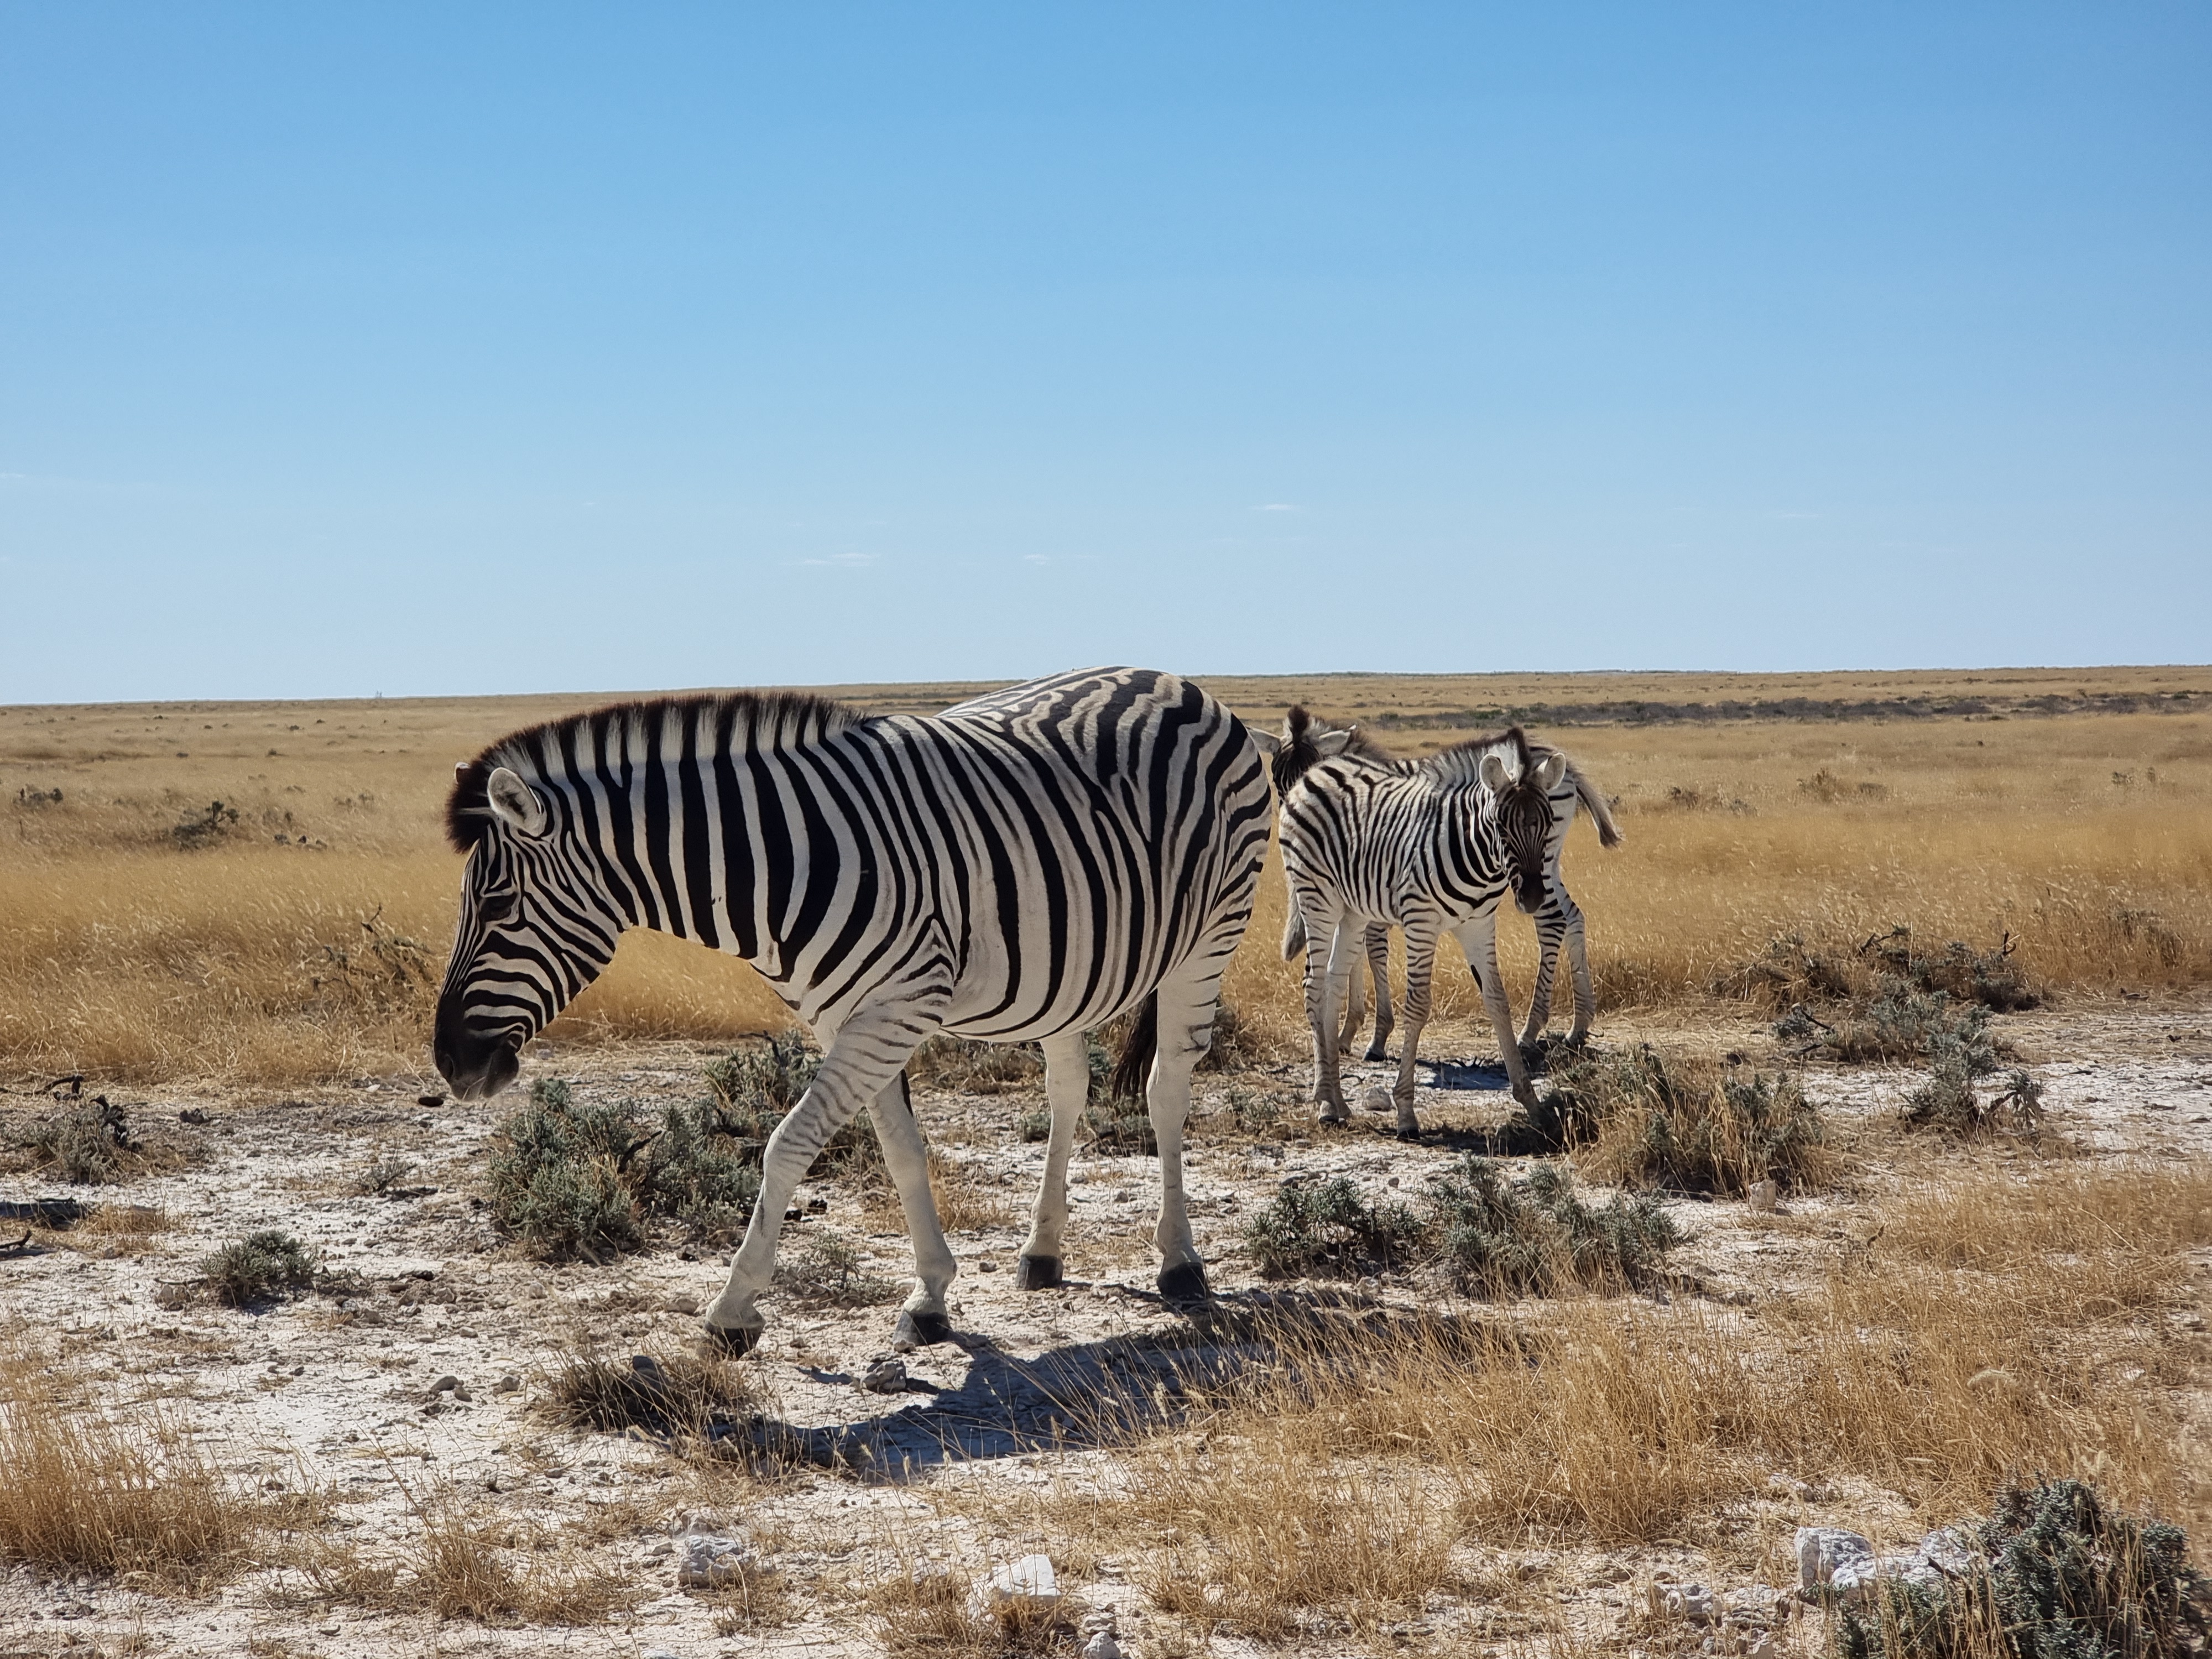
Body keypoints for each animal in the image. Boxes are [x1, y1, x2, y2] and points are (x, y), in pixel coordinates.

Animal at [429, 668, 1274, 1354]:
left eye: (497, 905)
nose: (450, 1062)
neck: (782, 863)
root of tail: (1179, 683)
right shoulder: (845, 1014)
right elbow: (899, 1147)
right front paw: (929, 1298)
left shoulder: (896, 1006)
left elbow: (786, 1145)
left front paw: (734, 1310)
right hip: (1070, 972)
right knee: (1068, 1087)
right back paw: (1042, 1252)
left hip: (1211, 936)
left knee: (1167, 1092)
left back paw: (1180, 1262)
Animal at [1265, 708, 1628, 1150]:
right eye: (1501, 825)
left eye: (1543, 823)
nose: (1528, 897)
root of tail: (1319, 773)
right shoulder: (1418, 920)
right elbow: (1417, 1004)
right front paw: (1404, 1109)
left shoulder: (1476, 924)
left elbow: (1497, 1001)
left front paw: (1532, 1102)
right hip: (1321, 897)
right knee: (1316, 985)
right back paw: (1326, 1100)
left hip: (1352, 907)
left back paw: (1335, 1100)